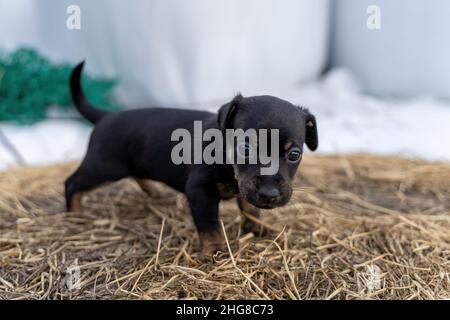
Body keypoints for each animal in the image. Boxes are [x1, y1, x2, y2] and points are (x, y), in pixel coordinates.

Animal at [66, 62, 320, 255]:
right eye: (245, 148)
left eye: (294, 154)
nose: (269, 195)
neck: (226, 160)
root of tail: (106, 117)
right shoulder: (201, 190)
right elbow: (209, 224)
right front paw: (215, 249)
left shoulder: (245, 187)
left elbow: (250, 207)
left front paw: (258, 227)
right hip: (102, 168)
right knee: (72, 183)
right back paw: (73, 214)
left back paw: (154, 191)